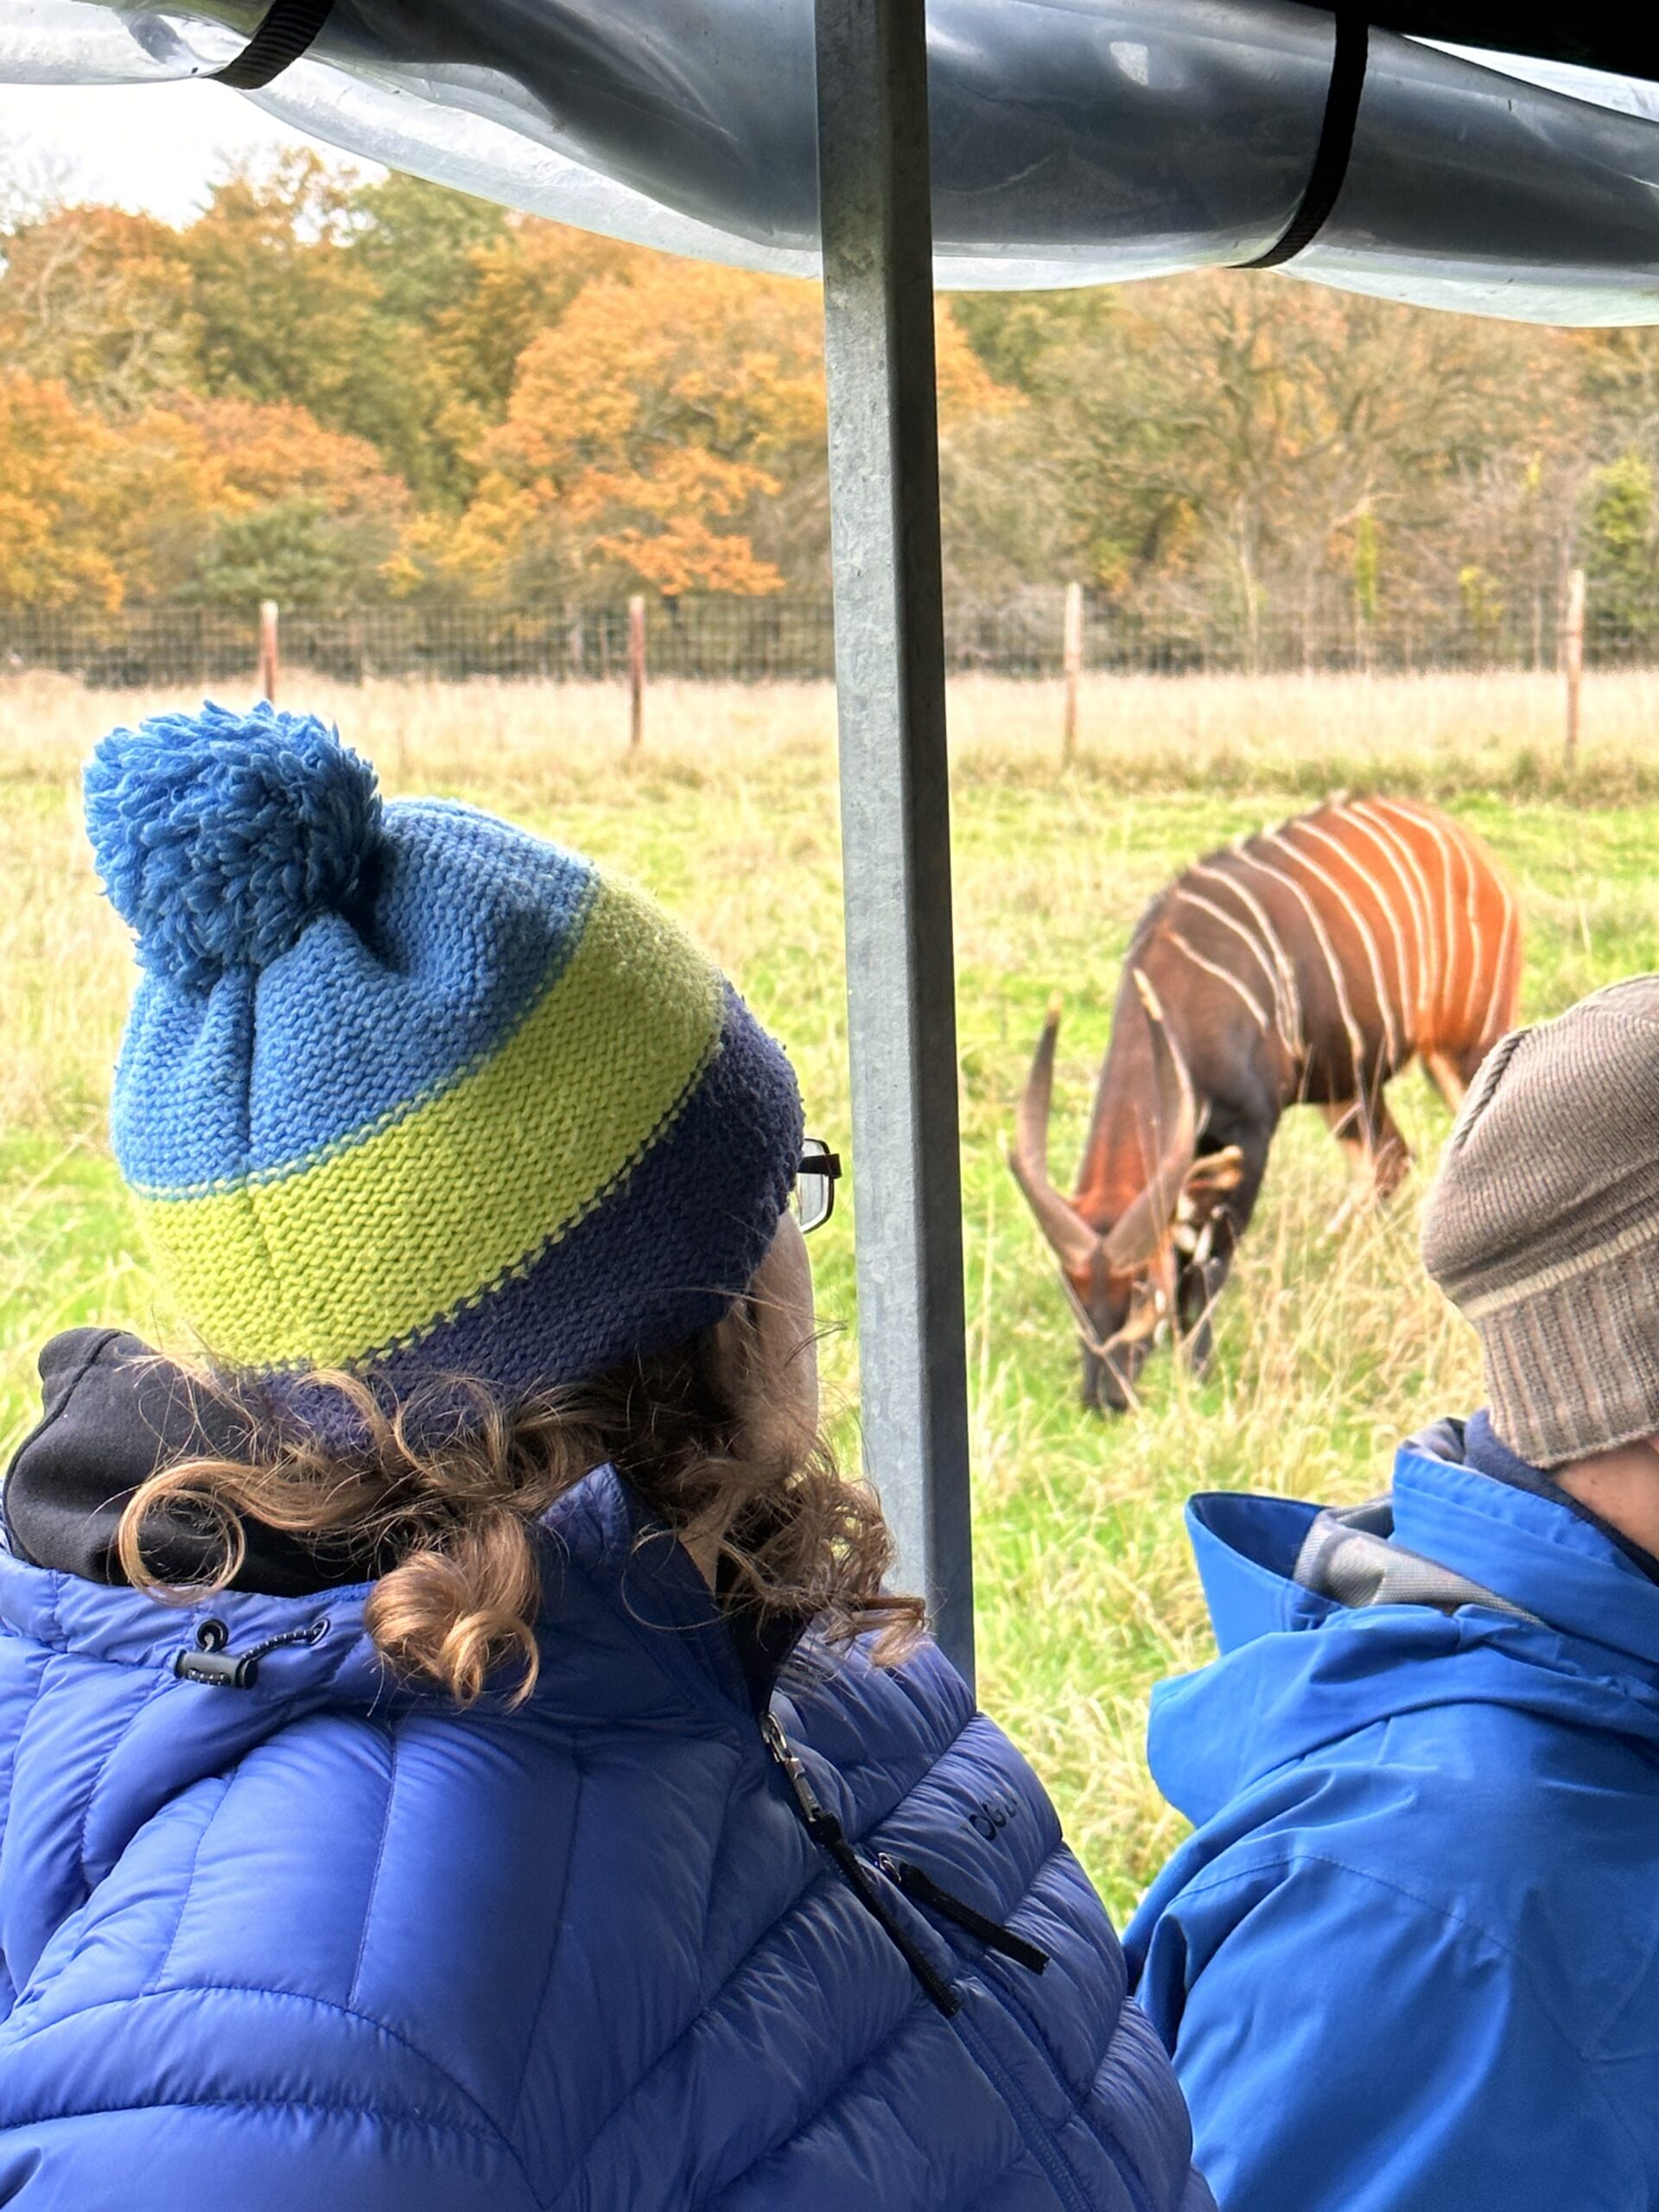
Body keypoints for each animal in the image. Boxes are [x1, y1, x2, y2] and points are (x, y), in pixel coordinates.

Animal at [1008, 804, 1530, 1407]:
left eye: (1140, 1284)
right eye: (1071, 1288)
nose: (1104, 1397)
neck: (1181, 992)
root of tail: (1475, 851)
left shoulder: (1251, 1132)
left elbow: (1211, 1256)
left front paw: (1199, 1369)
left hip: (1465, 1052)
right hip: (1349, 1082)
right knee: (1388, 1160)